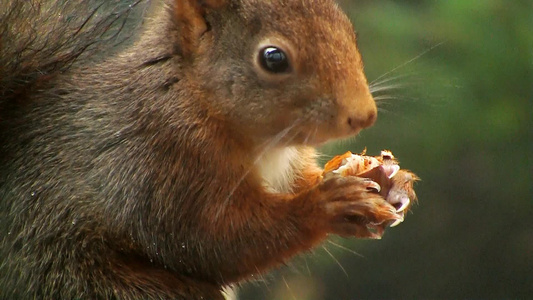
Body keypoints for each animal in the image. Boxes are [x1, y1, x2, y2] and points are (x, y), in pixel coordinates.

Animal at [0, 0, 410, 298]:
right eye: (273, 58)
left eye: (348, 29)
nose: (363, 116)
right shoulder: (160, 159)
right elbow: (209, 240)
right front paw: (327, 205)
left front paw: (388, 179)